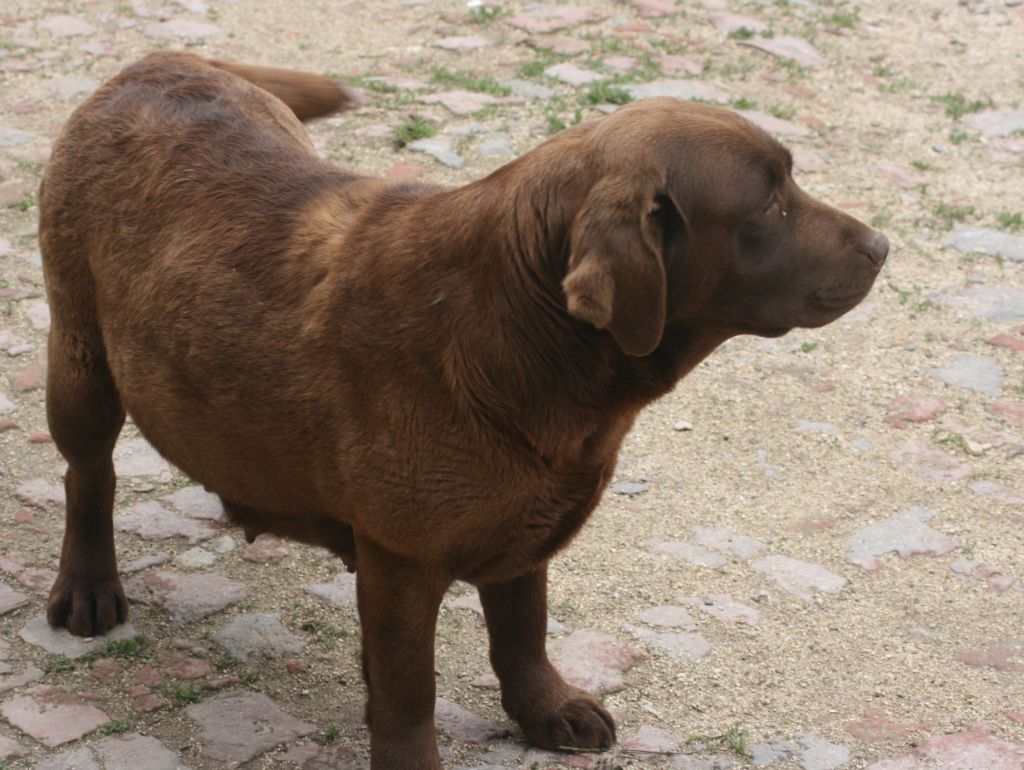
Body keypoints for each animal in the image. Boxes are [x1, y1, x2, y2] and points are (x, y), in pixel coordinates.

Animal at [41, 51, 888, 765]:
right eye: (770, 205)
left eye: (790, 182)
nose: (882, 245)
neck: (530, 324)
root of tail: (158, 60)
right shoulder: (400, 559)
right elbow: (409, 693)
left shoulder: (528, 522)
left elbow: (521, 631)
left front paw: (545, 710)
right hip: (79, 359)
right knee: (88, 474)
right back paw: (88, 587)